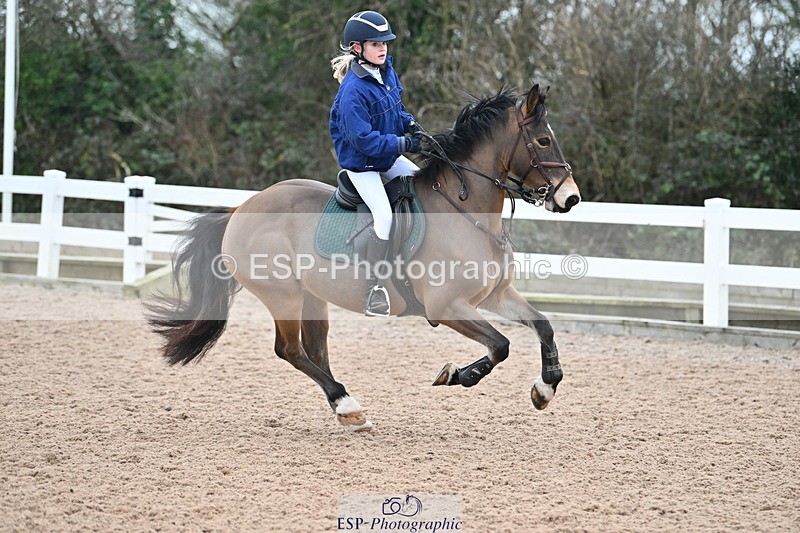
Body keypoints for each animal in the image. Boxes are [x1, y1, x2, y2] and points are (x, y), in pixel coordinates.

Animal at [146, 83, 581, 431]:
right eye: (543, 141)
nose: (571, 198)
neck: (465, 210)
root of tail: (241, 208)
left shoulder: (493, 296)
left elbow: (543, 325)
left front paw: (545, 389)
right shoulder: (447, 307)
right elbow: (501, 345)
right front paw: (457, 375)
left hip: (311, 297)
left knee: (315, 351)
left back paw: (347, 410)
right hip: (282, 295)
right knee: (290, 351)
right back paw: (347, 404)